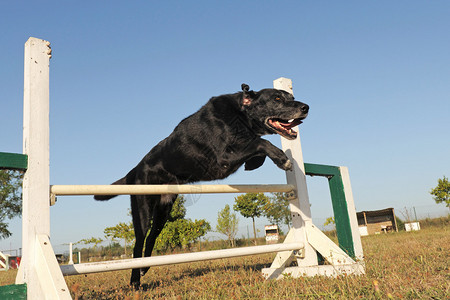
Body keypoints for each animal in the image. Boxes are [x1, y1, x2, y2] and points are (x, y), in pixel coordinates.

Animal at [95, 84, 310, 288]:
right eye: (277, 98)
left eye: (291, 96)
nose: (305, 107)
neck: (241, 114)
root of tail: (135, 170)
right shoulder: (224, 159)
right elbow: (260, 142)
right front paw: (283, 159)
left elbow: (257, 147)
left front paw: (256, 163)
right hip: (143, 208)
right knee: (138, 243)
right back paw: (135, 281)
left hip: (164, 210)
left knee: (151, 238)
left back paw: (144, 269)